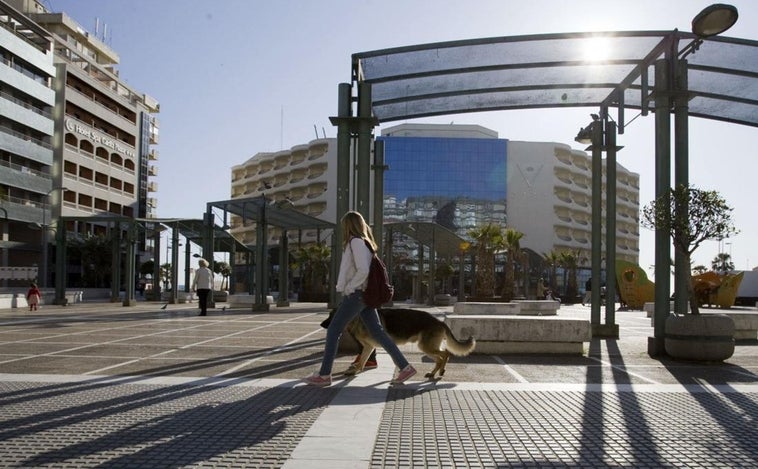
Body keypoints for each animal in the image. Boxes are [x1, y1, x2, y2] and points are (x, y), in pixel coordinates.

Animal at [346, 308, 476, 380]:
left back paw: (441, 371)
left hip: (426, 347)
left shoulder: (385, 345)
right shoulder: (369, 347)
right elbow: (361, 361)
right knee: (439, 359)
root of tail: (439, 321)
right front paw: (355, 371)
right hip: (426, 348)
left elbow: (395, 358)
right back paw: (433, 373)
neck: (358, 318)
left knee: (445, 354)